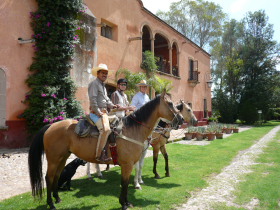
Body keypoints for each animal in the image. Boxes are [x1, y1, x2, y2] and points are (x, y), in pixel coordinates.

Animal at [27, 91, 184, 210]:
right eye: (170, 104)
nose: (181, 119)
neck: (132, 129)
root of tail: (51, 126)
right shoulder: (127, 165)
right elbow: (124, 184)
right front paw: (123, 204)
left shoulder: (131, 164)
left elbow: (127, 183)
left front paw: (127, 202)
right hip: (53, 159)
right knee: (48, 178)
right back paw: (51, 204)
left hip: (63, 157)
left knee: (56, 176)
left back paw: (57, 198)